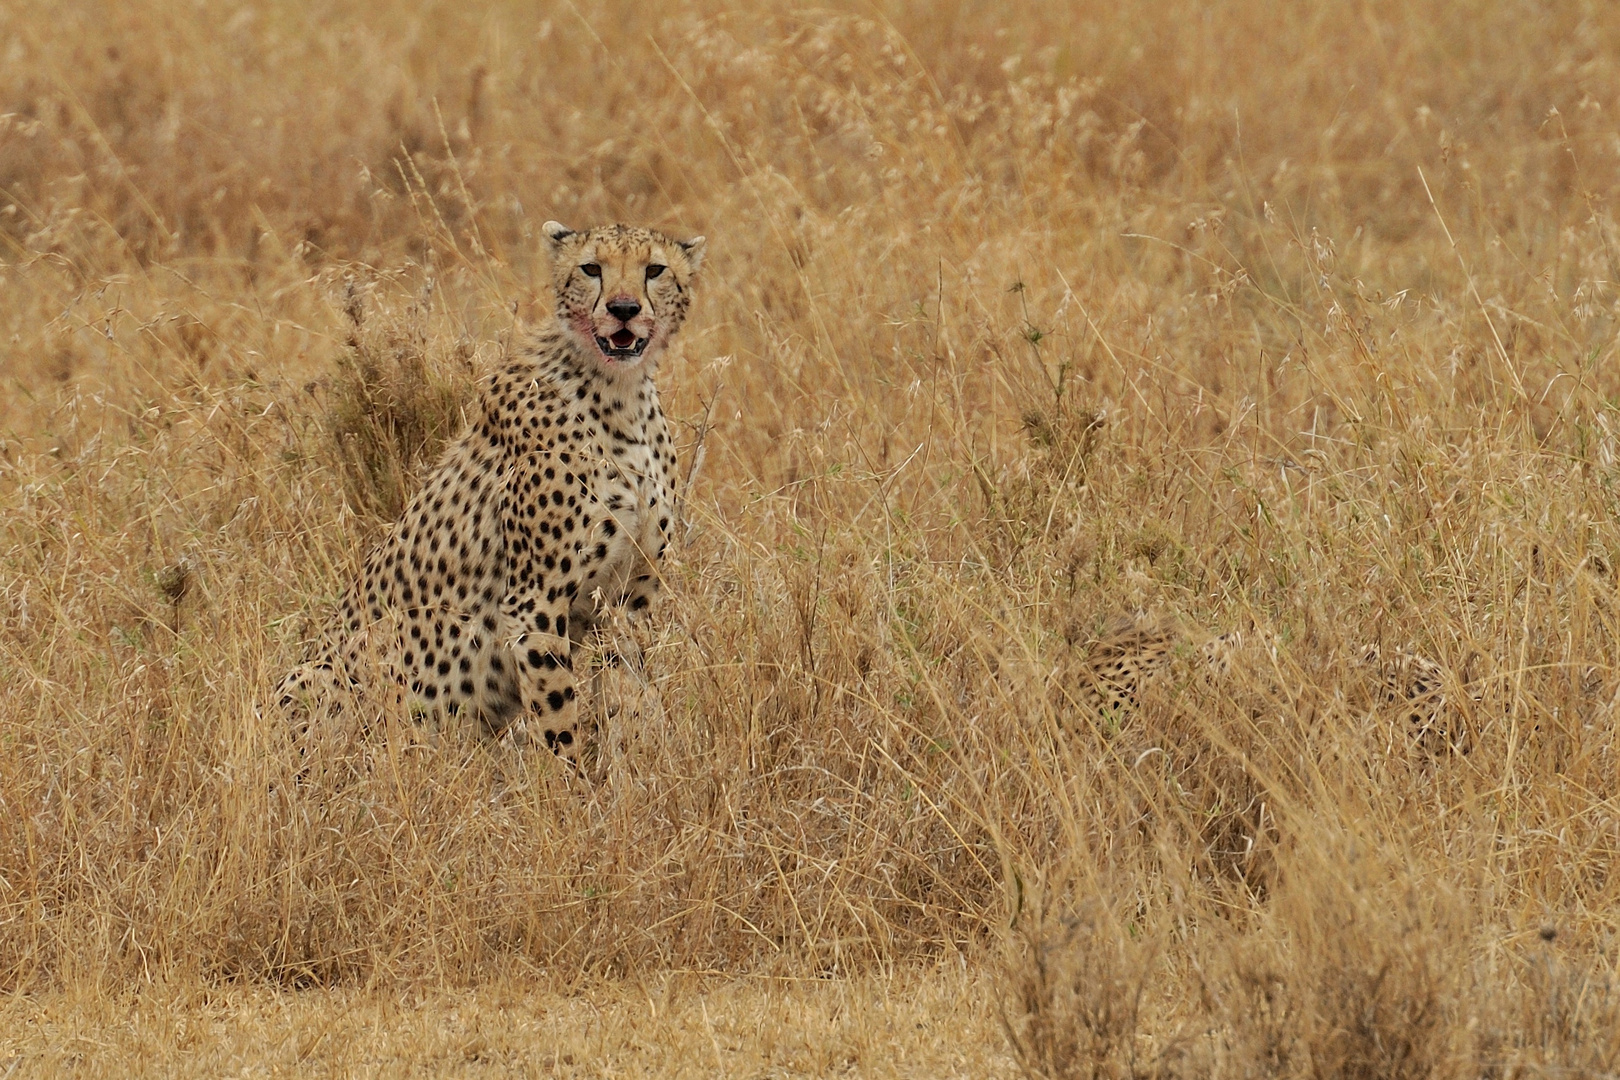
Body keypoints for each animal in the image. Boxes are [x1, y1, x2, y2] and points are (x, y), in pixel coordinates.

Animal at [277, 221, 703, 761]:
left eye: (654, 270)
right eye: (591, 268)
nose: (623, 308)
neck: (619, 392)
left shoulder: (631, 596)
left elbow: (629, 696)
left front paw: (631, 768)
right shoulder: (533, 603)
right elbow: (559, 718)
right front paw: (570, 780)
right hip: (319, 674)